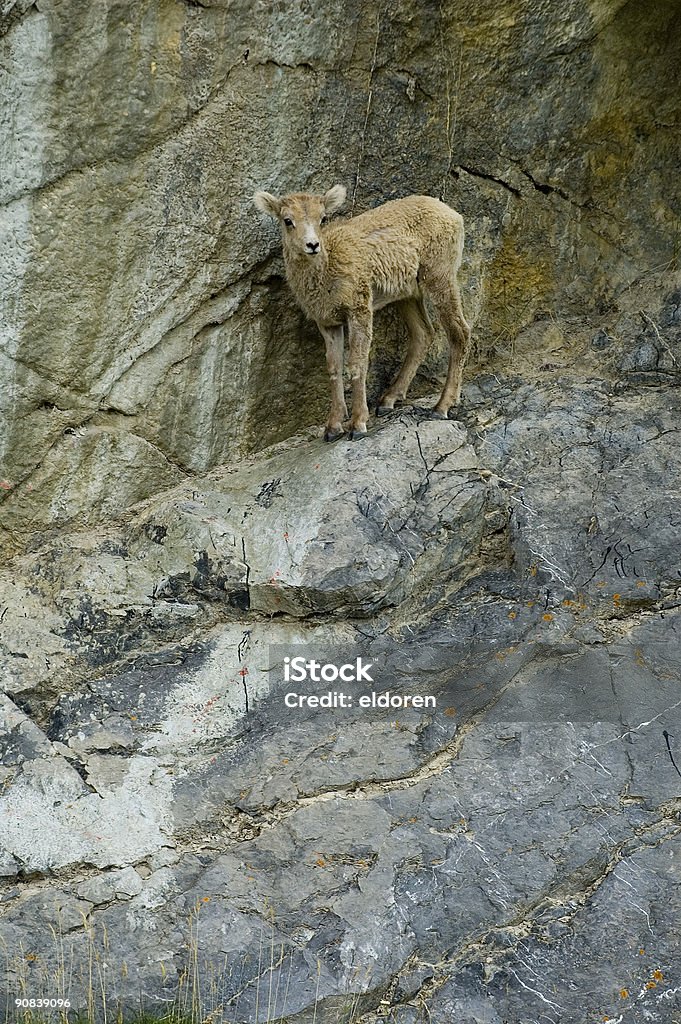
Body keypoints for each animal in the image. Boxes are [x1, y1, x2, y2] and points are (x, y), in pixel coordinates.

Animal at [251, 187, 471, 440]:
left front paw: (358, 425)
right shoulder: (327, 322)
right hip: (408, 293)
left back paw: (441, 407)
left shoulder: (359, 309)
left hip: (440, 277)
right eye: (287, 220)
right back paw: (388, 401)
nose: (313, 245)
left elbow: (357, 363)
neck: (326, 275)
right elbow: (334, 368)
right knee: (423, 334)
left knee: (460, 332)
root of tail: (453, 215)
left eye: (322, 218)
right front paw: (333, 428)